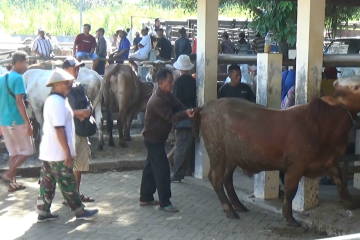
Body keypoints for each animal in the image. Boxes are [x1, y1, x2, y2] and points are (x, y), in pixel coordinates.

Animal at [191, 75, 360, 227]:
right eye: (356, 87)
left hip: (232, 156)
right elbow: (290, 191)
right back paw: (229, 210)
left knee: (227, 179)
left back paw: (238, 205)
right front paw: (289, 218)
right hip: (216, 151)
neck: (324, 122)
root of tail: (206, 106)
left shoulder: (329, 160)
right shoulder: (295, 165)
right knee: (216, 179)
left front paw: (350, 201)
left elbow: (340, 179)